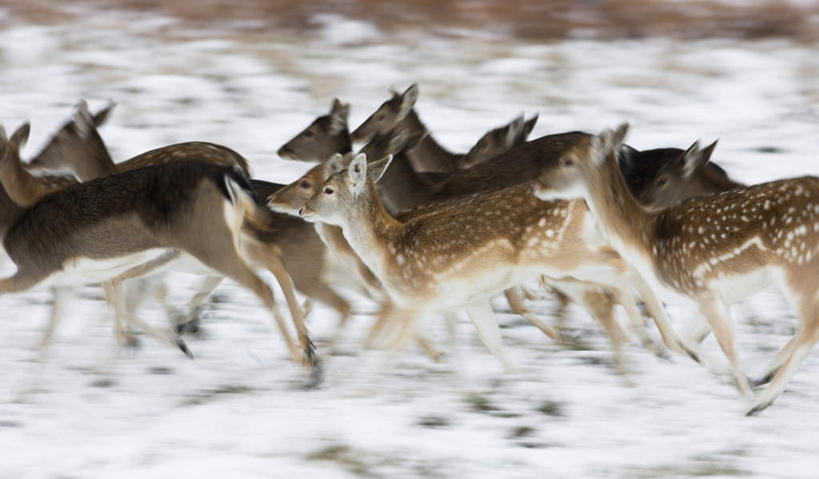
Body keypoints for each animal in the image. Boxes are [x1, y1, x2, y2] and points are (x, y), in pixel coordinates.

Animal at [0, 124, 320, 382]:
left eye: (59, 137)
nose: (33, 160)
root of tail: (233, 172)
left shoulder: (45, 268)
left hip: (207, 242)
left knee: (261, 283)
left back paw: (302, 359)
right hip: (225, 239)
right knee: (272, 256)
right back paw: (308, 347)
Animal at [536, 124, 819, 416]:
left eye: (567, 160)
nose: (538, 184)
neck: (646, 243)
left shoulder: (700, 288)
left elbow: (727, 346)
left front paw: (747, 399)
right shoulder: (712, 297)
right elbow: (687, 340)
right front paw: (739, 382)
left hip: (797, 265)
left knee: (810, 327)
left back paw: (762, 400)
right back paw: (765, 376)